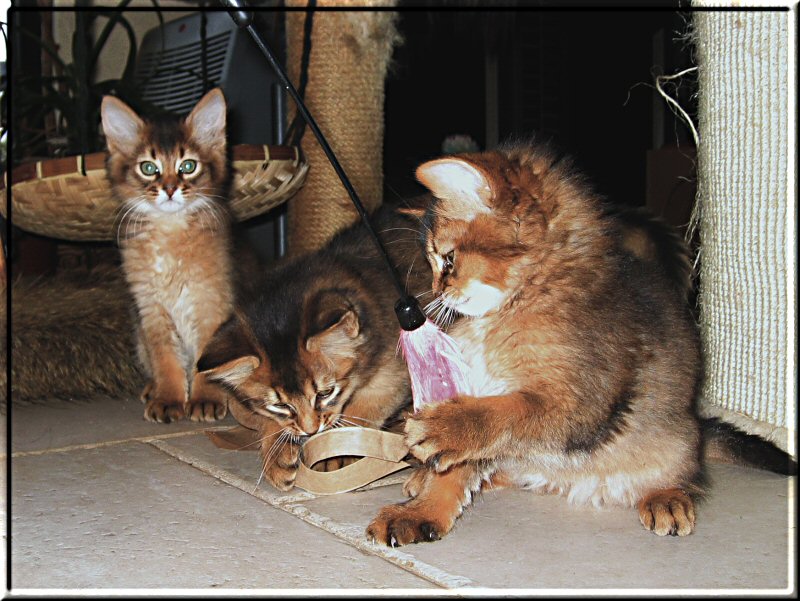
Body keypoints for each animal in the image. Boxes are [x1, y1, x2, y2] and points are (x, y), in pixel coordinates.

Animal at [100, 89, 234, 422]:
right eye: (149, 168)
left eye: (188, 166)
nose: (170, 189)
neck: (170, 234)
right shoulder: (151, 309)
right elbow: (165, 360)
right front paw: (169, 398)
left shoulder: (210, 303)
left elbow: (206, 361)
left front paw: (205, 399)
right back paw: (152, 389)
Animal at [195, 202, 432, 488]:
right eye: (281, 405)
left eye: (325, 393)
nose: (311, 430)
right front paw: (275, 450)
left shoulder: (396, 369)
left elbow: (363, 408)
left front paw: (339, 449)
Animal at [368, 139, 792, 544]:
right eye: (434, 264)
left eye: (448, 260)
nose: (434, 294)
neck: (526, 297)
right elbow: (461, 466)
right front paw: (421, 513)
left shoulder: (578, 400)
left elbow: (504, 413)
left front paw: (446, 428)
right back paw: (426, 479)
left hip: (675, 441)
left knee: (683, 473)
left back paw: (668, 497)